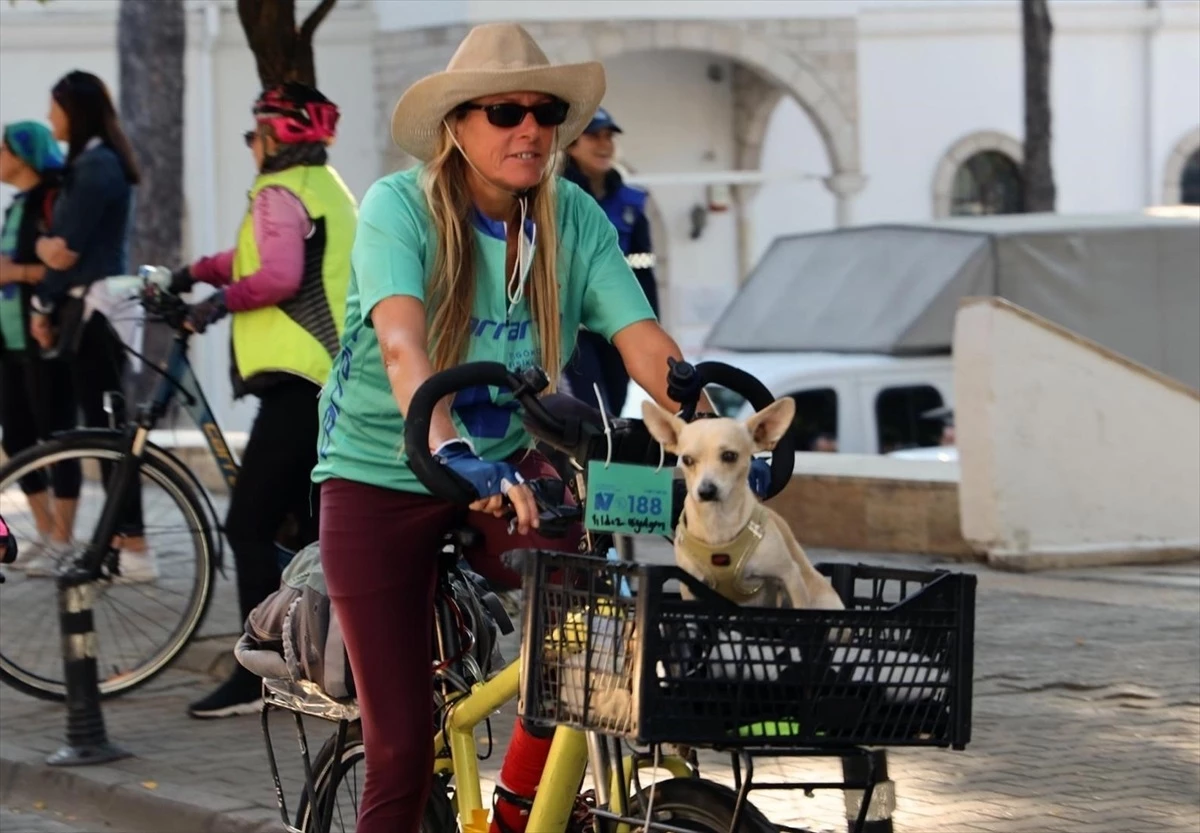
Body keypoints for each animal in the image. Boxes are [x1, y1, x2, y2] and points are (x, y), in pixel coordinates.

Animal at [648, 398, 844, 614]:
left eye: (729, 456)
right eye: (687, 460)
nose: (706, 490)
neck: (718, 523)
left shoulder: (790, 576)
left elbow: (799, 609)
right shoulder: (691, 586)